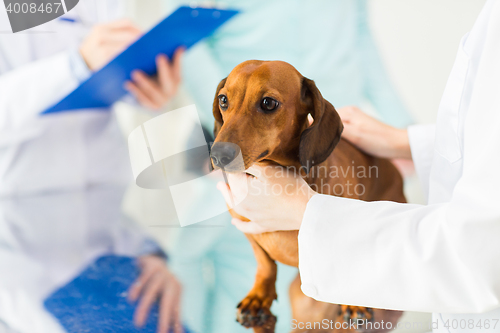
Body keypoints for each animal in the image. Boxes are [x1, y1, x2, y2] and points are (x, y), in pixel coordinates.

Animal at [209, 60, 404, 332]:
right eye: (223, 100)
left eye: (268, 103)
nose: (218, 156)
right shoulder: (246, 227)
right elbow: (265, 264)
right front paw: (259, 297)